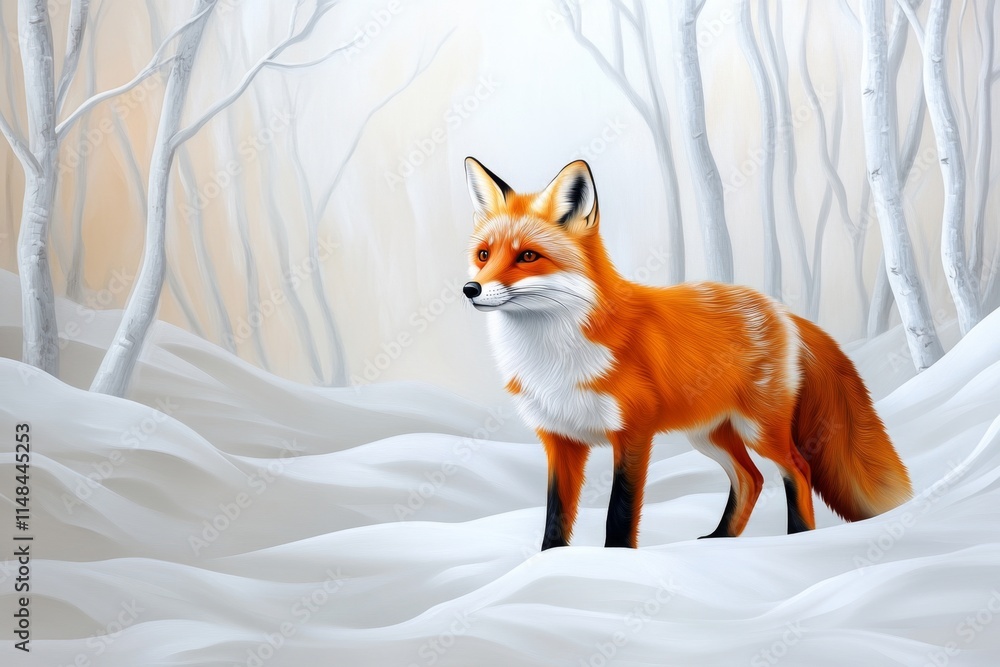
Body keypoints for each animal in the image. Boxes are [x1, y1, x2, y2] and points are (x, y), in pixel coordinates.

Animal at [461, 156, 913, 550]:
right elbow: (555, 516)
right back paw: (720, 541)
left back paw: (797, 539)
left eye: (528, 256)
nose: (470, 289)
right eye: (484, 255)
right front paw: (549, 563)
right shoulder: (560, 438)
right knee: (751, 479)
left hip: (759, 428)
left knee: (797, 470)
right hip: (709, 433)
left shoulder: (634, 431)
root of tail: (780, 309)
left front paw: (615, 562)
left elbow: (620, 512)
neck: (552, 356)